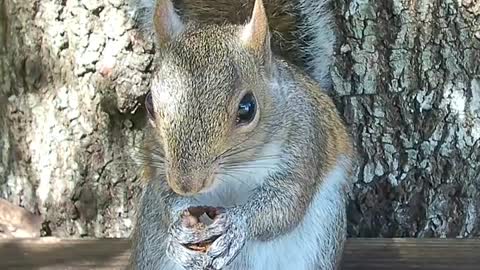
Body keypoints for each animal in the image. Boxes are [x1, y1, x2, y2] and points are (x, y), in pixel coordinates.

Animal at [127, 0, 356, 268]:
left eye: (248, 108)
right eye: (150, 104)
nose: (186, 185)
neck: (236, 170)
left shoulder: (305, 142)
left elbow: (285, 204)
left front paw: (235, 224)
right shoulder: (157, 160)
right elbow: (164, 194)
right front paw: (177, 227)